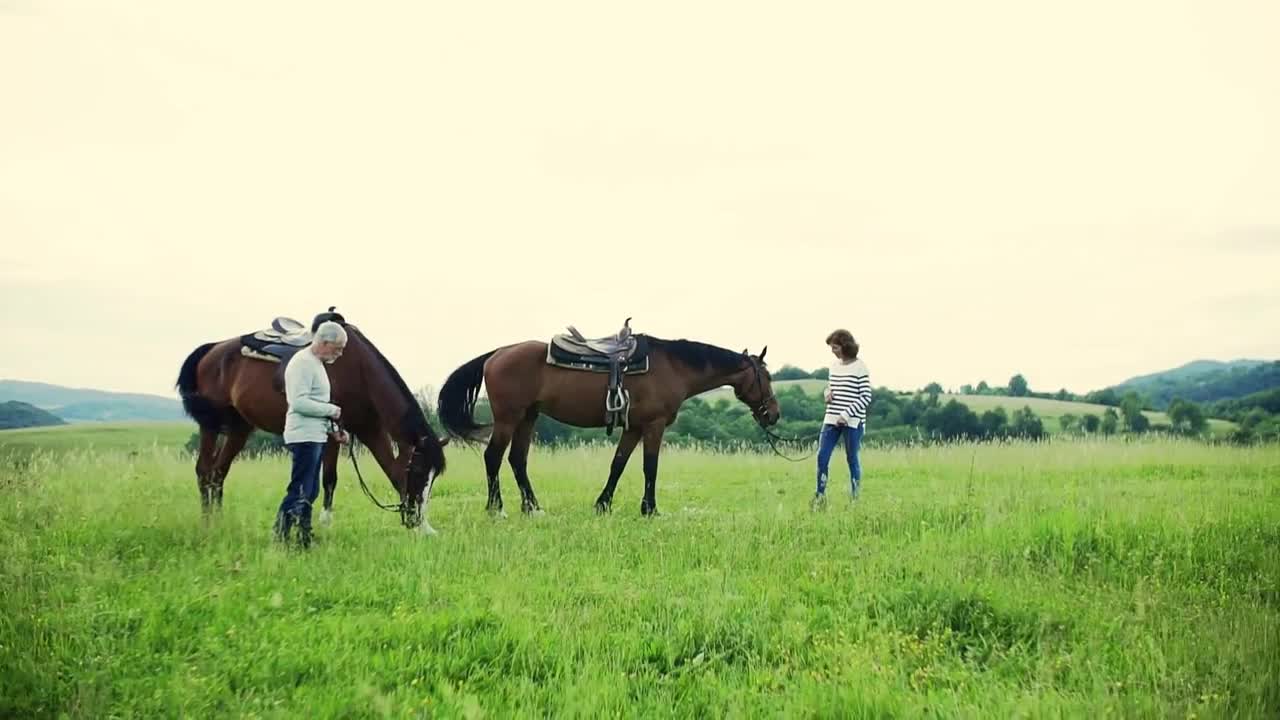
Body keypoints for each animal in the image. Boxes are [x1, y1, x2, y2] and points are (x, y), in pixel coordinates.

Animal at [175, 316, 445, 530]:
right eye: (418, 471)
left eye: (434, 477)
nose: (418, 521)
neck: (359, 370)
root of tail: (212, 350)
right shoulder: (333, 429)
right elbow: (330, 479)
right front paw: (325, 523)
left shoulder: (370, 429)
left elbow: (391, 470)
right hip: (210, 424)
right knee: (204, 471)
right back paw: (207, 523)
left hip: (239, 428)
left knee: (218, 472)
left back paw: (219, 520)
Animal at [437, 333, 778, 512]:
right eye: (767, 377)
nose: (773, 414)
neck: (673, 367)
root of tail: (497, 354)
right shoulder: (653, 426)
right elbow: (650, 467)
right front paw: (649, 509)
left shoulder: (634, 427)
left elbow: (618, 464)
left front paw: (603, 504)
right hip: (509, 419)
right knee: (493, 457)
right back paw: (496, 508)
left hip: (528, 417)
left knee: (517, 460)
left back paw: (533, 507)